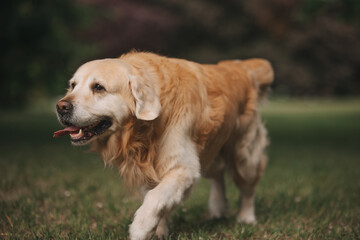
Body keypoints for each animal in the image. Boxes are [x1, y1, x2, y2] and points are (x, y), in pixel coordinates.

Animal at [54, 51, 272, 239]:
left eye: (98, 87)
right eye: (72, 85)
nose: (61, 106)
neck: (143, 129)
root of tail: (242, 66)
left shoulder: (183, 168)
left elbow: (155, 198)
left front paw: (140, 228)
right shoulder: (146, 168)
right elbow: (156, 198)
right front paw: (158, 231)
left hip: (245, 155)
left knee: (248, 188)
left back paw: (246, 217)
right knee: (217, 175)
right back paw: (217, 208)